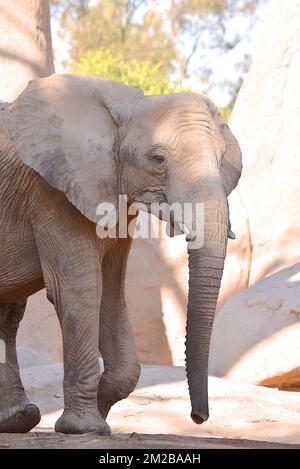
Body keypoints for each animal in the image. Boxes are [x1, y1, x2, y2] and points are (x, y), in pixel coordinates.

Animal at [0, 74, 241, 436]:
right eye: (158, 159)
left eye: (220, 158)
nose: (198, 417)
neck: (126, 108)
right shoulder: (51, 193)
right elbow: (81, 290)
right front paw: (85, 428)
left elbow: (112, 292)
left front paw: (100, 409)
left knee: (9, 316)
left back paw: (18, 419)